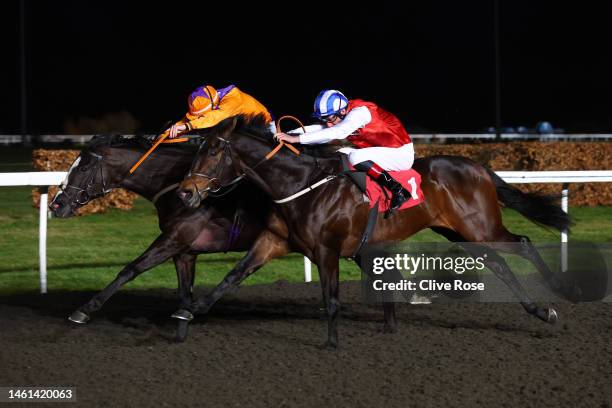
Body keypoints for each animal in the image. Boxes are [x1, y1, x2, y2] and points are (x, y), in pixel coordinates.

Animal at [50, 134, 280, 338]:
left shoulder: (174, 238)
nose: (56, 205)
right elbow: (184, 293)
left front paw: (84, 310)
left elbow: (131, 269)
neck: (178, 187)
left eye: (83, 168)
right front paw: (183, 324)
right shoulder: (185, 252)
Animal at [179, 116, 572, 350]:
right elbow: (232, 276)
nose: (185, 193)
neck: (300, 184)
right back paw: (539, 309)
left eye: (212, 151)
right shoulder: (273, 241)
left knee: (523, 245)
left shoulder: (327, 249)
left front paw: (332, 344)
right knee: (500, 264)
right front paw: (189, 312)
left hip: (480, 226)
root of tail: (479, 167)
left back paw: (559, 293)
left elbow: (331, 299)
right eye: (197, 149)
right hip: (461, 233)